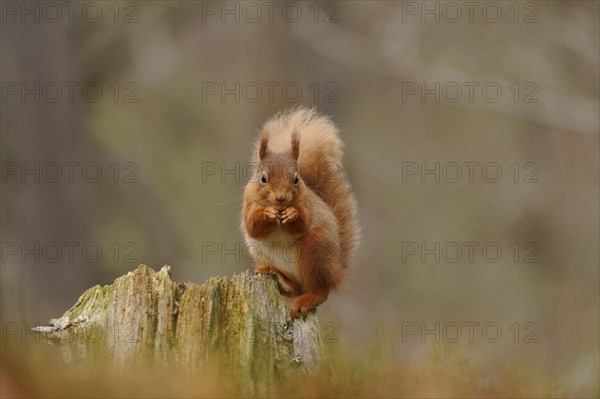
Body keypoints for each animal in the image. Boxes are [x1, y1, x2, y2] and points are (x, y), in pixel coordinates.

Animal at [241, 108, 358, 320]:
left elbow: (303, 222)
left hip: (315, 250)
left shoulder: (307, 205)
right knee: (295, 289)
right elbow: (252, 226)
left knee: (320, 291)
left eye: (296, 179)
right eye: (263, 178)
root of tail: (338, 272)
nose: (281, 198)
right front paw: (268, 213)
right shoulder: (248, 203)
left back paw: (306, 299)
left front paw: (292, 214)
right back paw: (279, 277)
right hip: (262, 255)